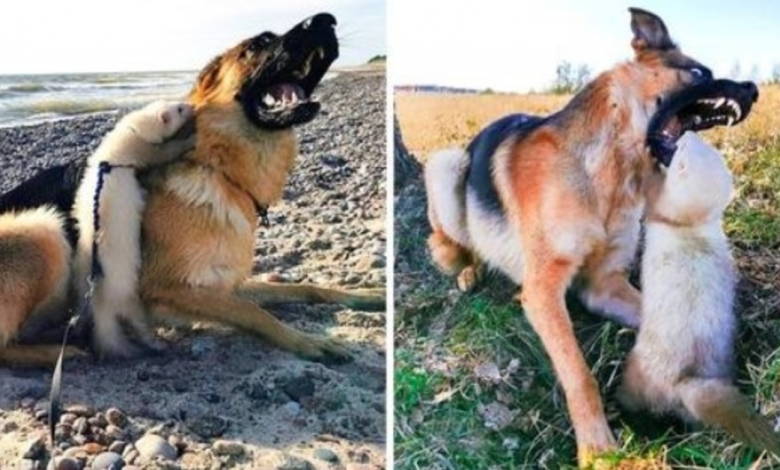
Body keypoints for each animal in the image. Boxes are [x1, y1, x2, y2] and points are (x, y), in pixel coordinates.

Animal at [0, 11, 386, 368]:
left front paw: (363, 294)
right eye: (258, 44)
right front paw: (309, 341)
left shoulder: (222, 283)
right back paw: (60, 351)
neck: (220, 171)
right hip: (44, 231)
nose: (326, 20)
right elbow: (253, 311)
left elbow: (302, 288)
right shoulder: (169, 289)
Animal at [424, 7, 760, 466]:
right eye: (697, 72)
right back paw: (467, 270)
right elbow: (579, 374)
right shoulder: (543, 291)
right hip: (445, 167)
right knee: (449, 243)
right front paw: (598, 448)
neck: (607, 172)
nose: (753, 89)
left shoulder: (604, 284)